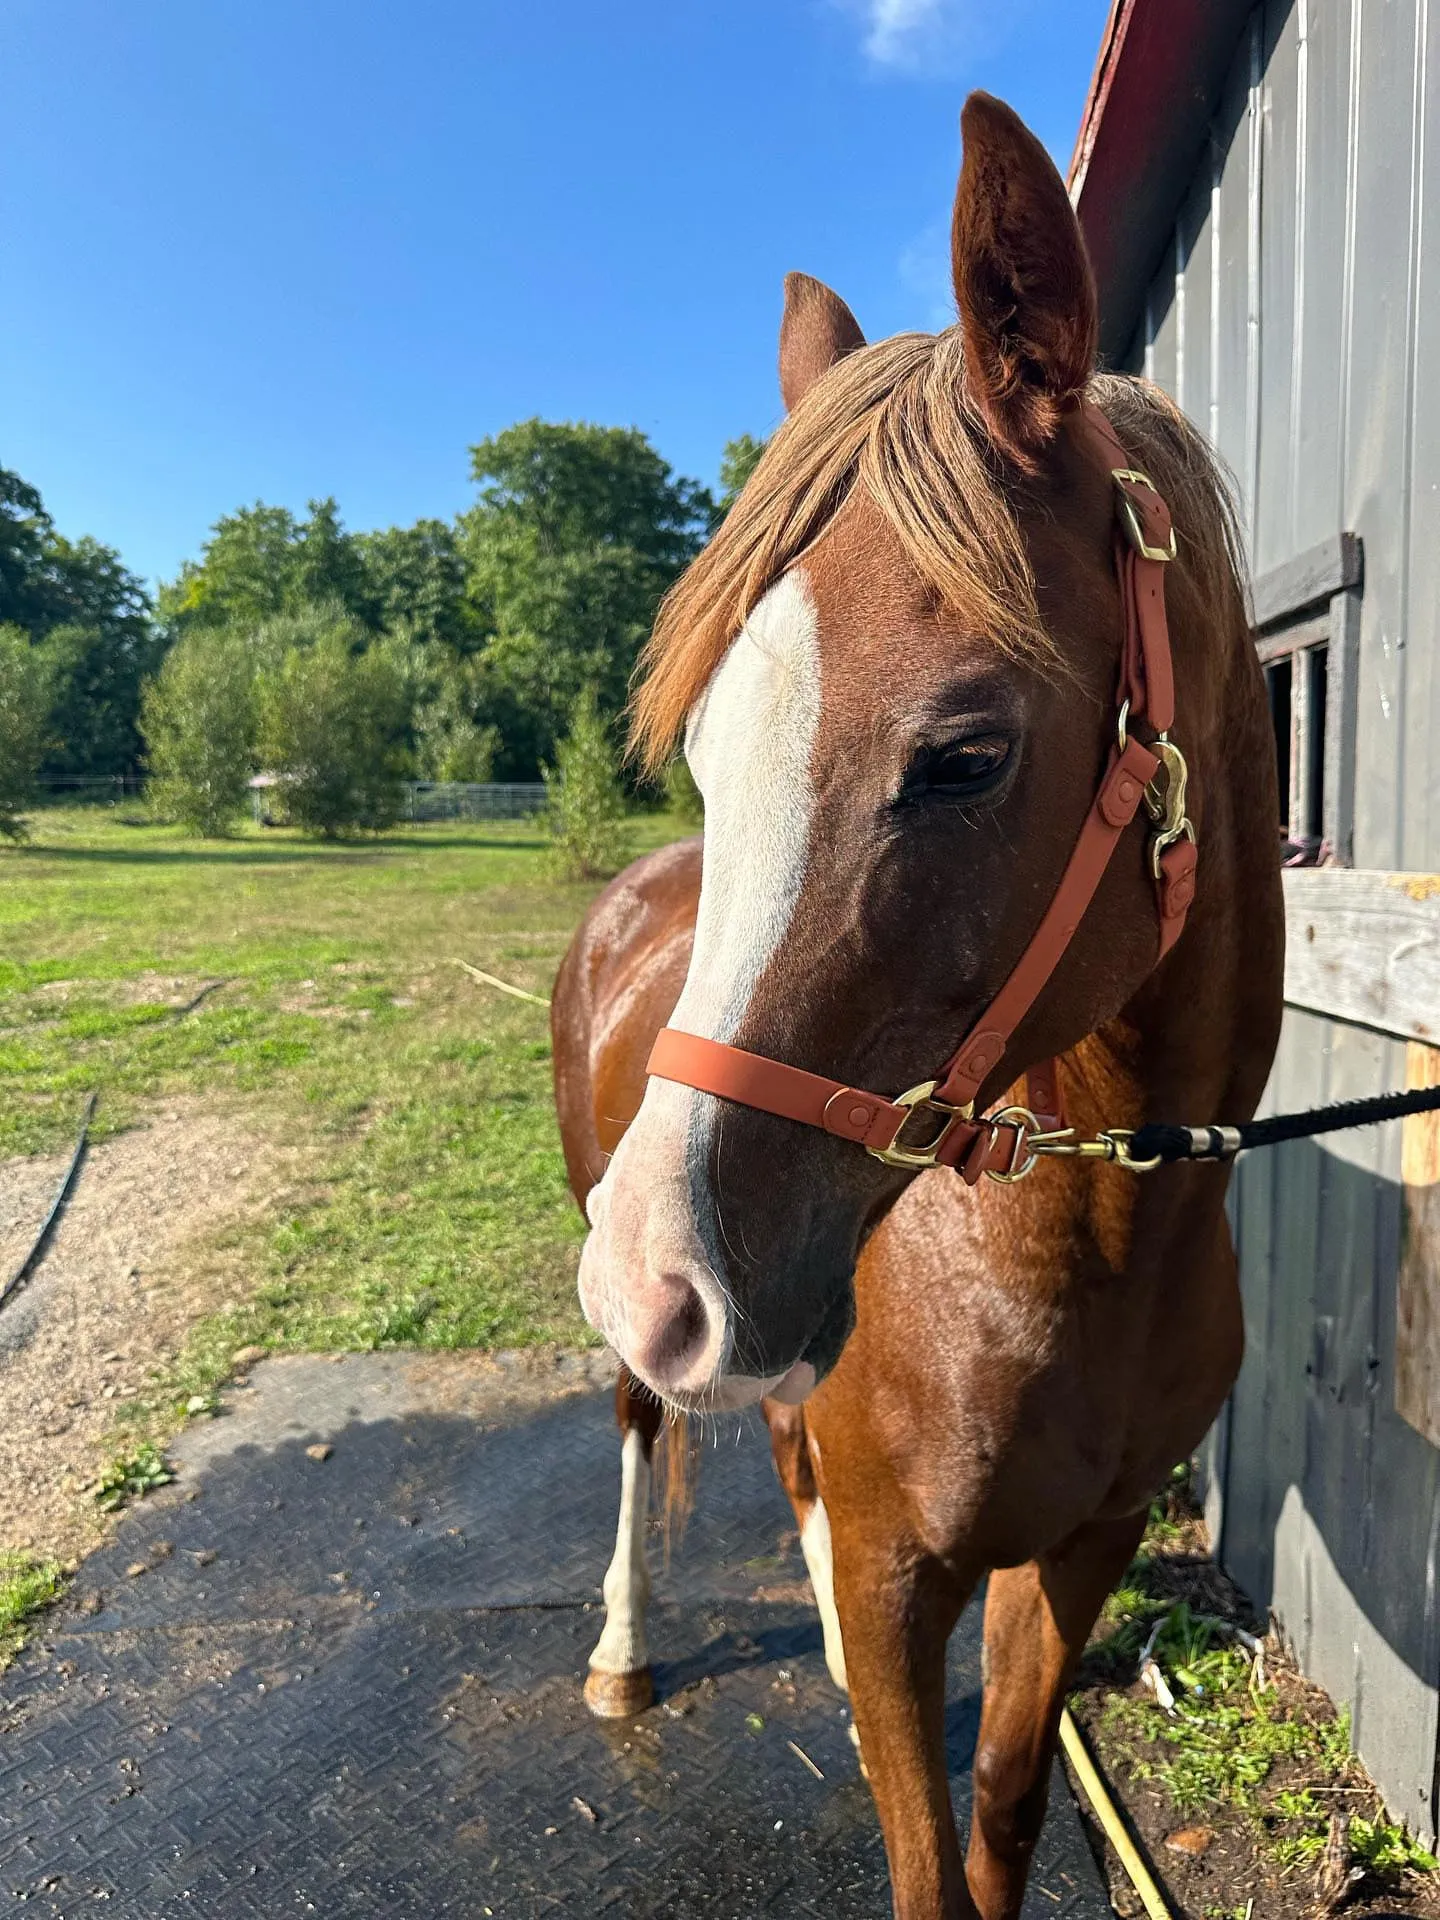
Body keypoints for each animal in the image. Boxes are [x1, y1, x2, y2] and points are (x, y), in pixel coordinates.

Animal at [552, 97, 1282, 1920]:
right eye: (705, 743)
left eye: (962, 756)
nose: (656, 1279)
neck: (1090, 1244)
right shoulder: (904, 1585)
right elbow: (925, 1865)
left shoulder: (1078, 1554)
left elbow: (1004, 1817)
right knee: (638, 1427)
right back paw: (625, 1645)